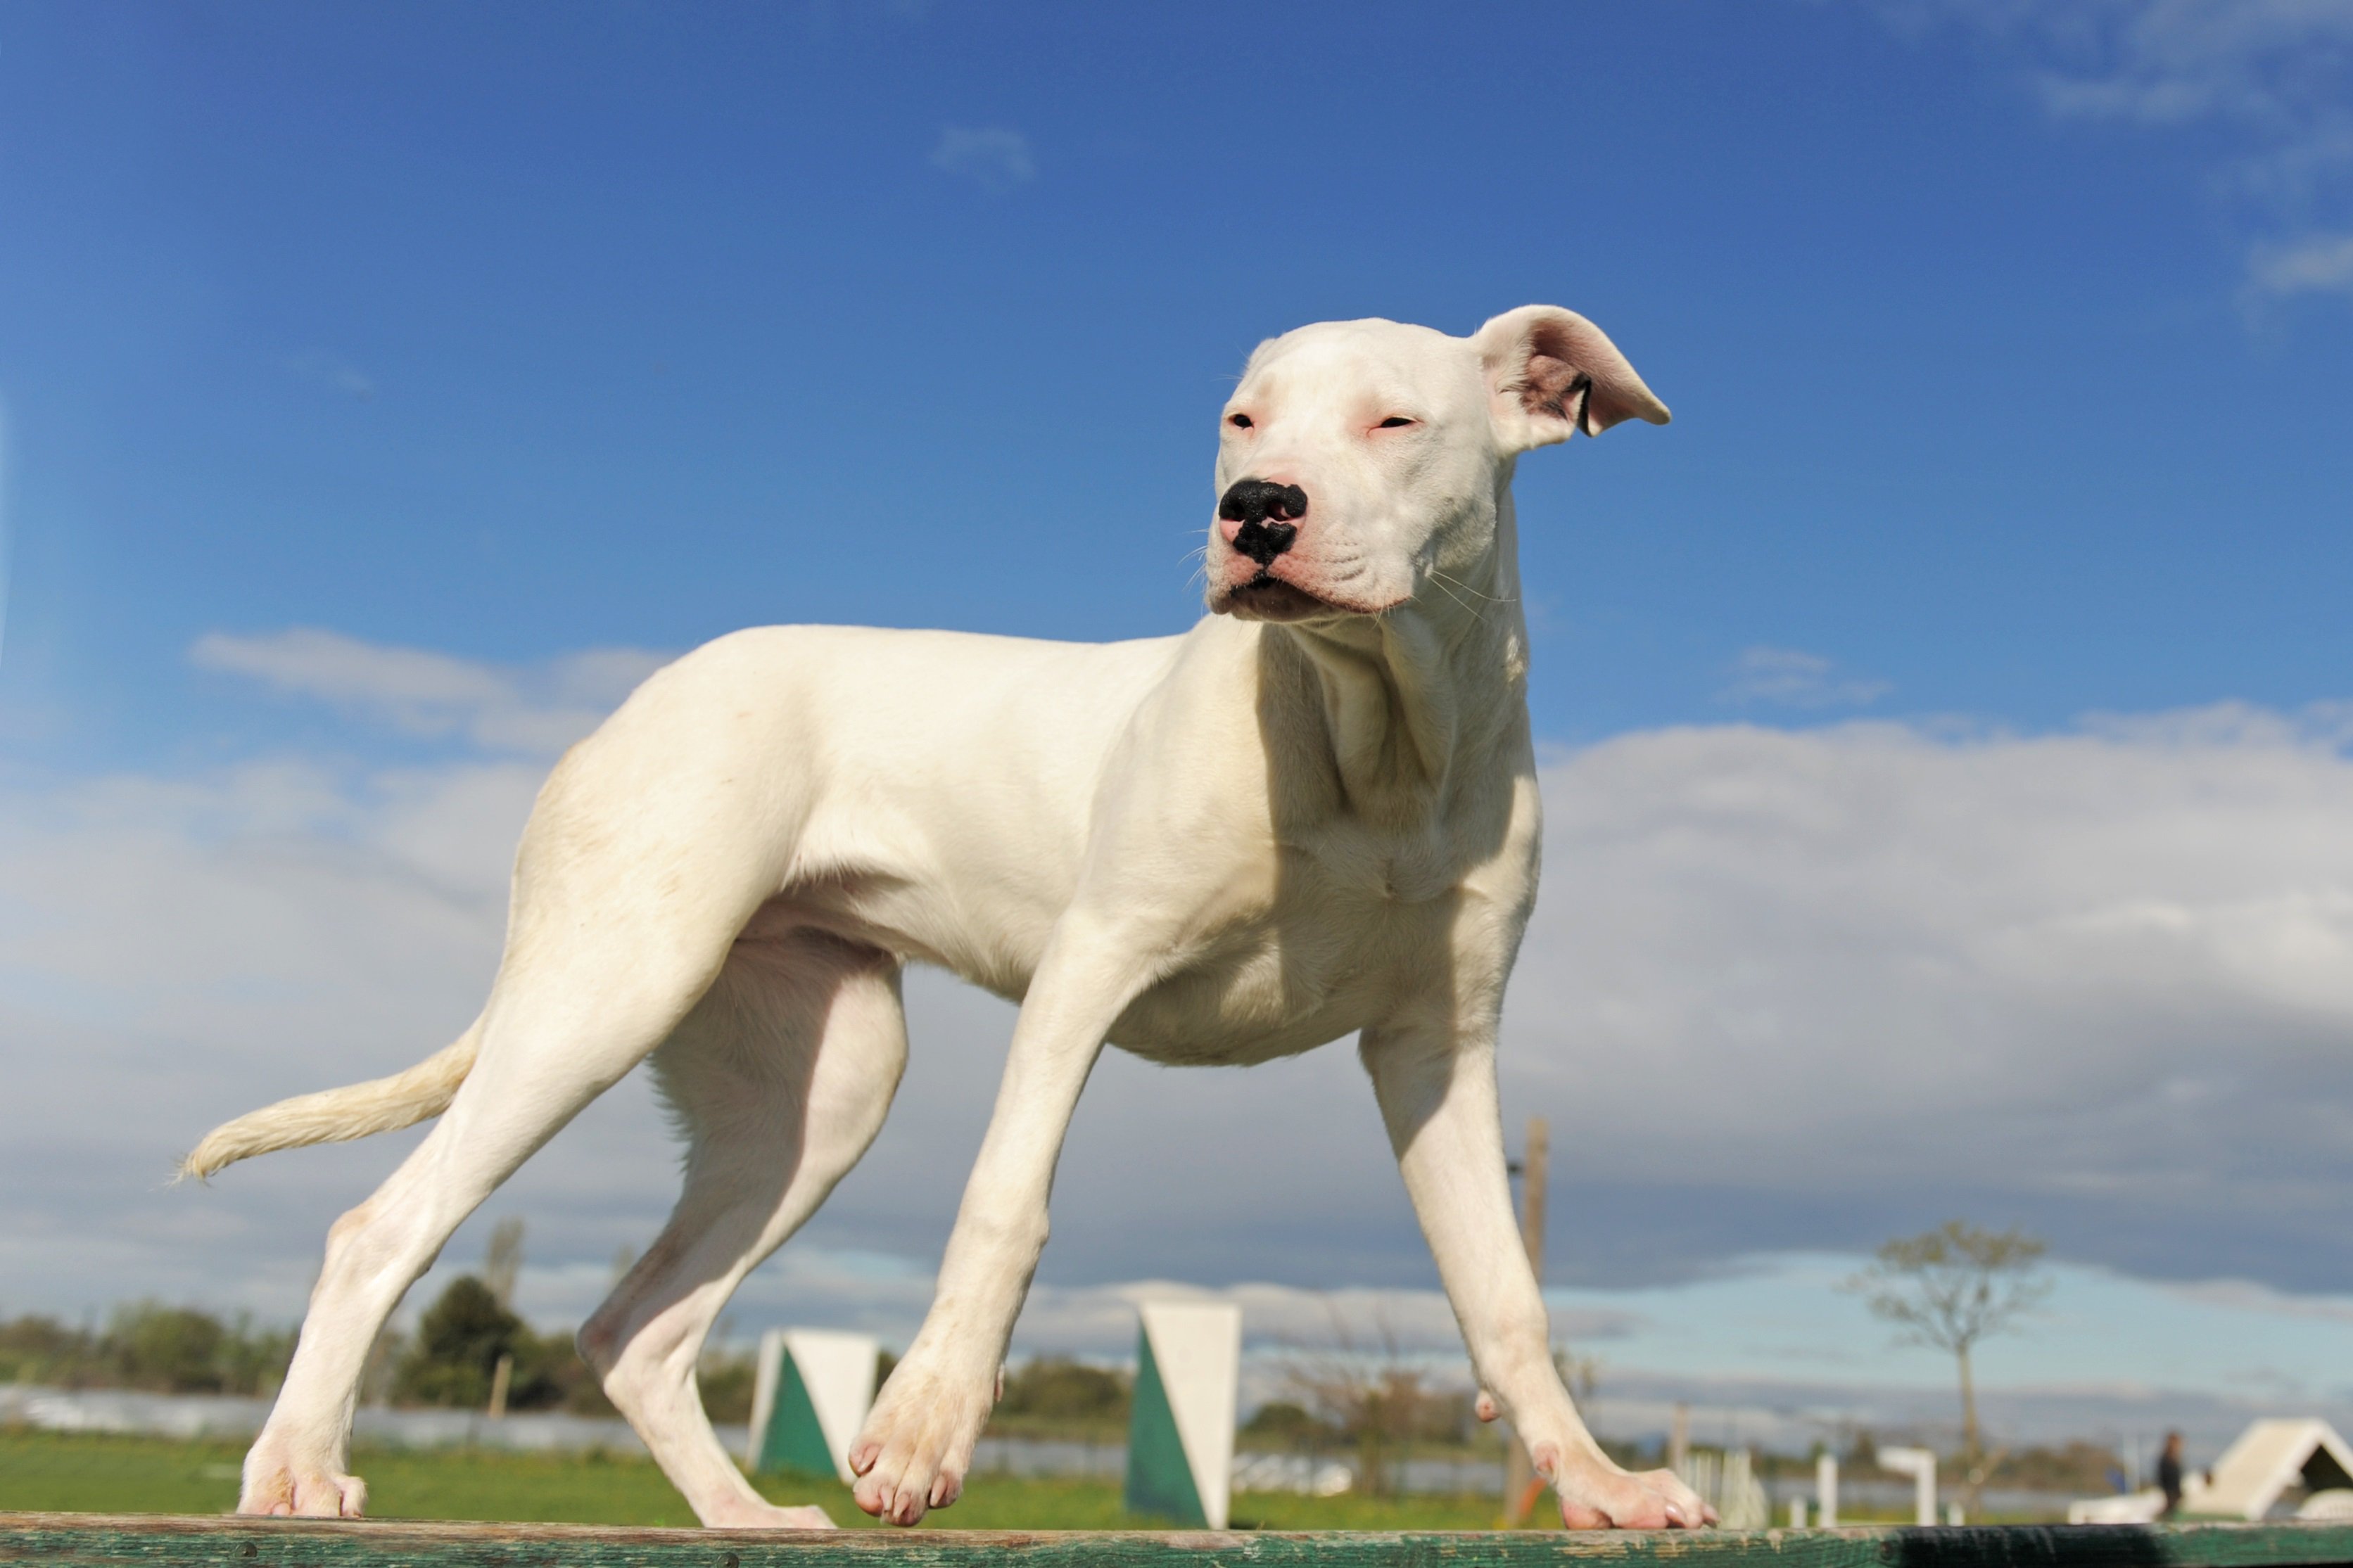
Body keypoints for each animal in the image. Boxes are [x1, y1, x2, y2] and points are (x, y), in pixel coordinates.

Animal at [188, 305, 1713, 1532]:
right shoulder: (1085, 974)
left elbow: (1504, 1291)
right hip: (609, 987)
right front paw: (923, 1426)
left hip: (815, 1091)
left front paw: (1598, 1481)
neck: (1377, 744)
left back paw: (744, 1514)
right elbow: (1003, 1203)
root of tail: (629, 705)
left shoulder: (1439, 1050)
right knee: (381, 1227)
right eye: (1241, 419)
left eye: (1394, 419)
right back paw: (296, 1470)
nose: (1257, 508)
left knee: (637, 1325)